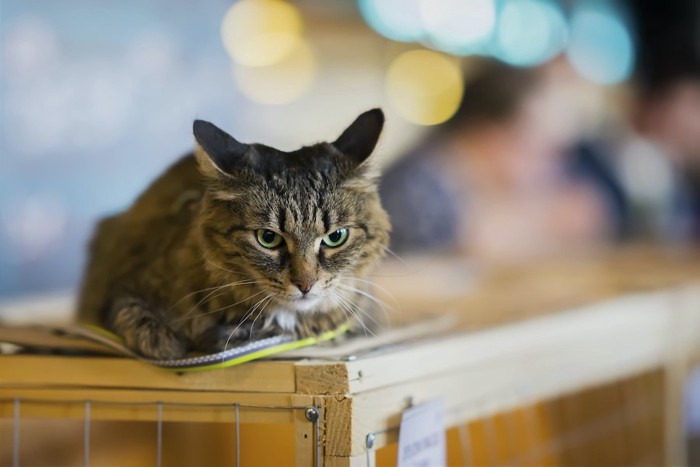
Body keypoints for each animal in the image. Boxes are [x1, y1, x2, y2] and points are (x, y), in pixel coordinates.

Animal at [78, 109, 394, 362]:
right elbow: (137, 320)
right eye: (268, 238)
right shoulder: (120, 289)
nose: (305, 285)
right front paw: (171, 343)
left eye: (336, 236)